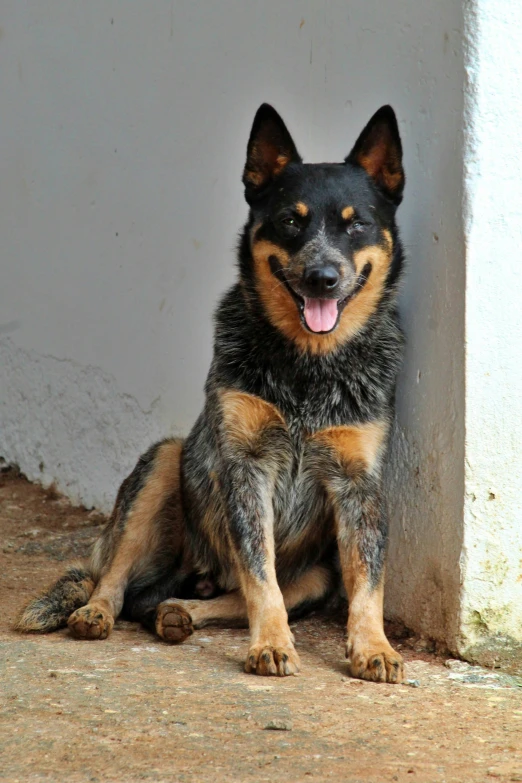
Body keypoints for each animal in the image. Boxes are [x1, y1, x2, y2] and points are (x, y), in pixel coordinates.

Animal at [16, 102, 404, 680]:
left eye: (356, 224)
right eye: (291, 220)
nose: (322, 277)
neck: (308, 367)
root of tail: (195, 573)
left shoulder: (359, 485)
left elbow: (367, 582)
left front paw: (374, 646)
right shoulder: (245, 468)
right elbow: (260, 576)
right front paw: (271, 644)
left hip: (317, 576)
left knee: (202, 598)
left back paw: (179, 612)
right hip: (161, 466)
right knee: (119, 582)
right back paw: (96, 612)